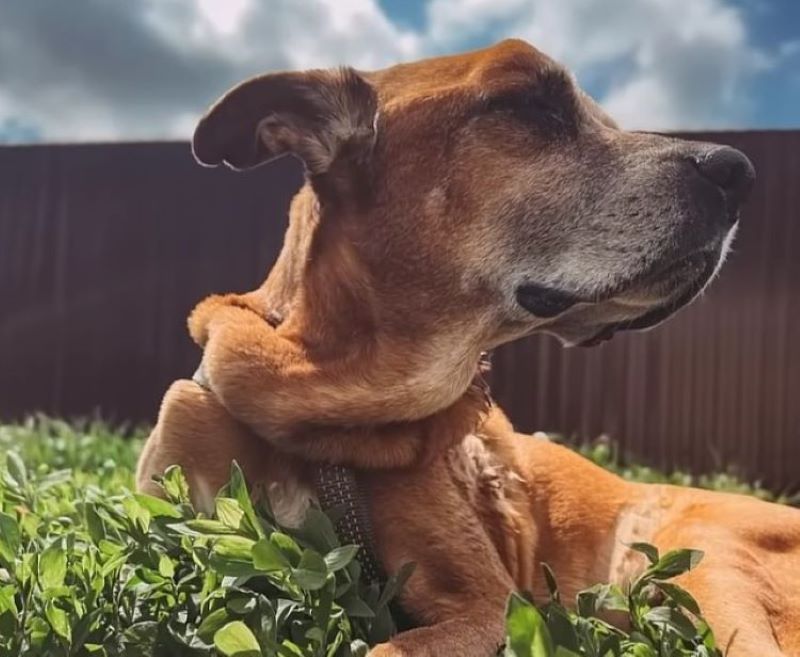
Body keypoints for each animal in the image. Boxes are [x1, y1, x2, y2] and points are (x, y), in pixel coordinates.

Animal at [138, 41, 800, 656]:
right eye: (529, 104)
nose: (739, 171)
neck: (323, 411)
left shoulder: (486, 606)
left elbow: (386, 647)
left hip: (714, 568)